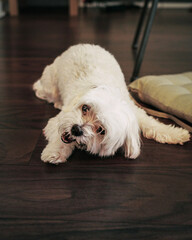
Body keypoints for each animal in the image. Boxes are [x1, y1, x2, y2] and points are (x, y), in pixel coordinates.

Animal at [33, 44, 190, 164]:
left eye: (101, 130)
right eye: (85, 108)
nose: (76, 129)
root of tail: (81, 44)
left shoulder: (134, 112)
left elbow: (153, 124)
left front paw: (176, 134)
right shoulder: (62, 119)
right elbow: (60, 137)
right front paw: (55, 151)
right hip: (51, 84)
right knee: (43, 91)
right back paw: (56, 101)